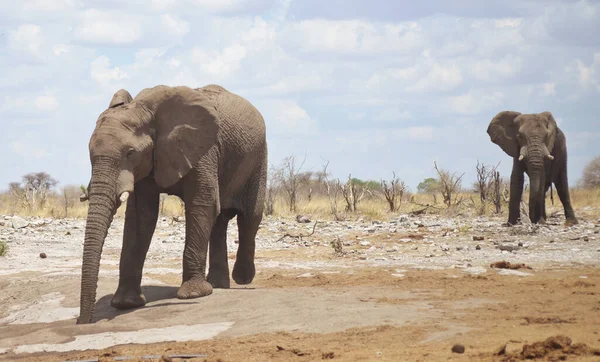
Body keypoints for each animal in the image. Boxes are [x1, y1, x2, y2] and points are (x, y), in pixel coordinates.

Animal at [77, 85, 268, 326]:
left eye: (130, 153)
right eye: (90, 155)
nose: (84, 321)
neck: (147, 111)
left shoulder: (204, 149)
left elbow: (202, 204)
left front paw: (193, 295)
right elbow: (141, 216)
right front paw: (126, 304)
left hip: (258, 158)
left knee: (250, 217)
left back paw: (241, 279)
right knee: (219, 222)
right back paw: (217, 284)